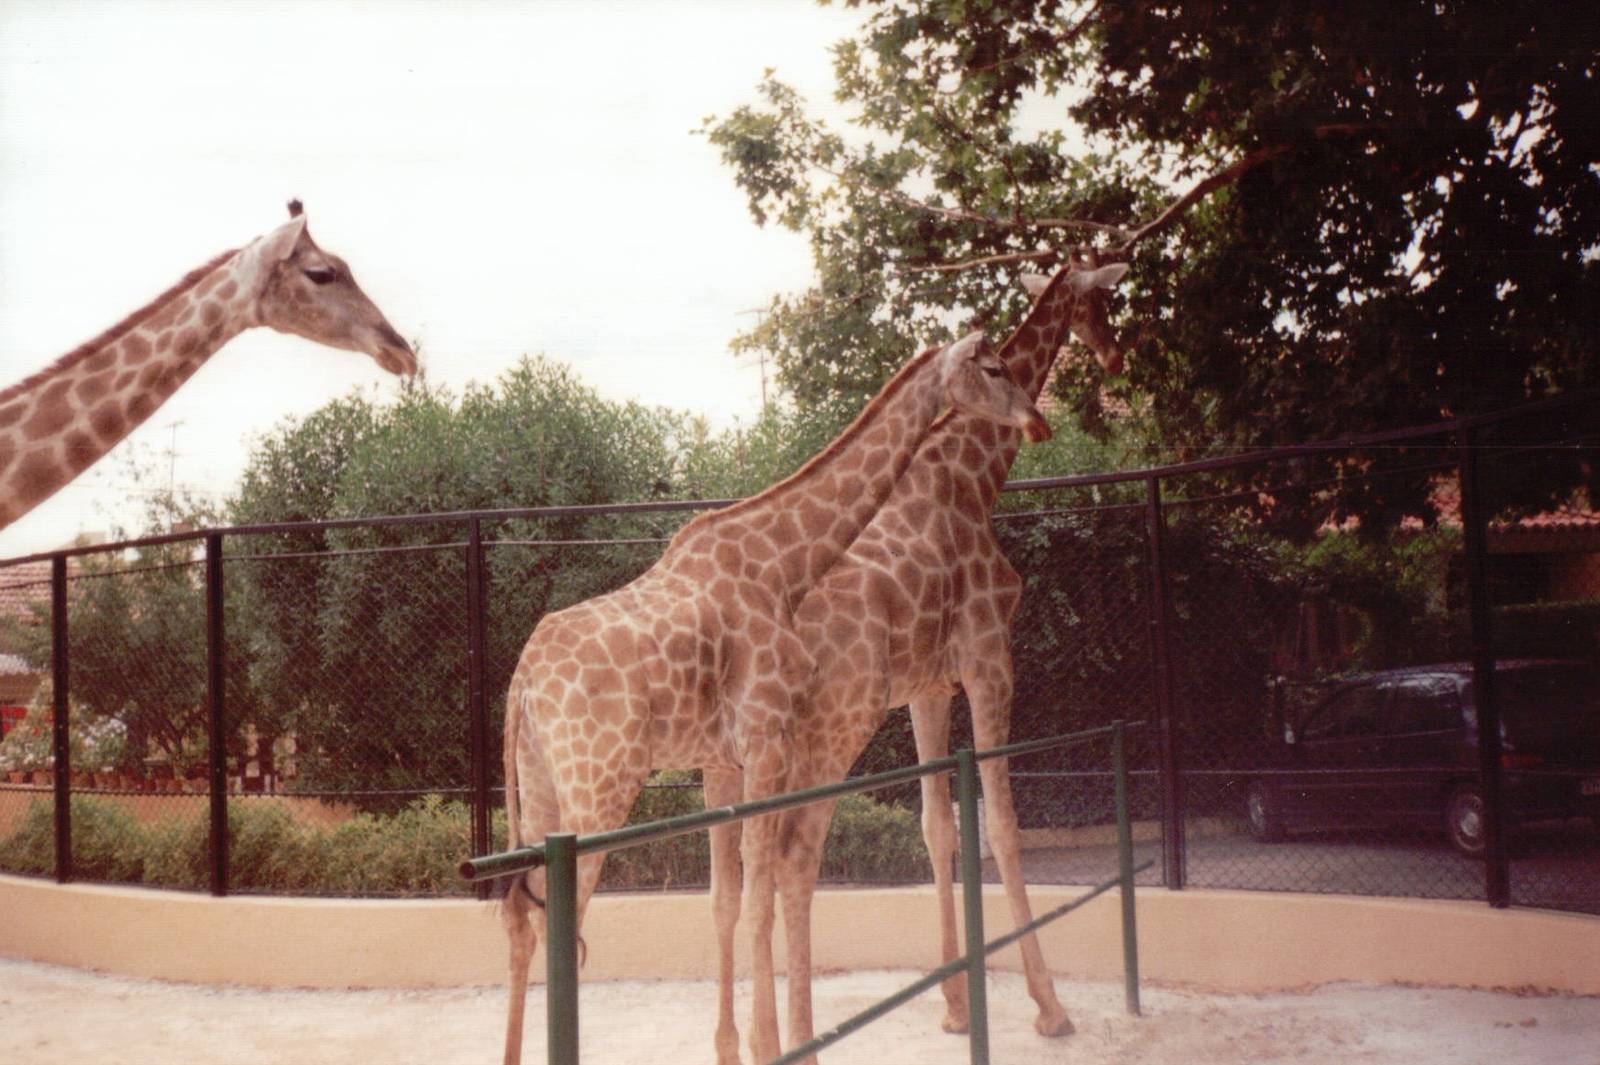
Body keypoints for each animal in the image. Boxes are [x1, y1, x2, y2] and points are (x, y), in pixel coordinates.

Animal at [498, 327, 1054, 1065]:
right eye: (993, 368)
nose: (1039, 420)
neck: (785, 565)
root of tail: (521, 682)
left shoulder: (729, 758)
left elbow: (733, 897)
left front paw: (743, 1044)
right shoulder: (764, 743)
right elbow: (760, 896)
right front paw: (771, 1044)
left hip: (540, 787)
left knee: (519, 917)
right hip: (598, 785)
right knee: (558, 919)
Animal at [746, 256, 1128, 1055]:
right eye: (1101, 302)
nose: (1115, 356)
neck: (974, 477)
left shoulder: (928, 687)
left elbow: (937, 826)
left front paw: (955, 1004)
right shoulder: (990, 659)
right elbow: (1002, 824)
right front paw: (1049, 1006)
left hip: (770, 744)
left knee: (753, 861)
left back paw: (763, 1039)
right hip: (836, 727)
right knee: (795, 852)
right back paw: (799, 1036)